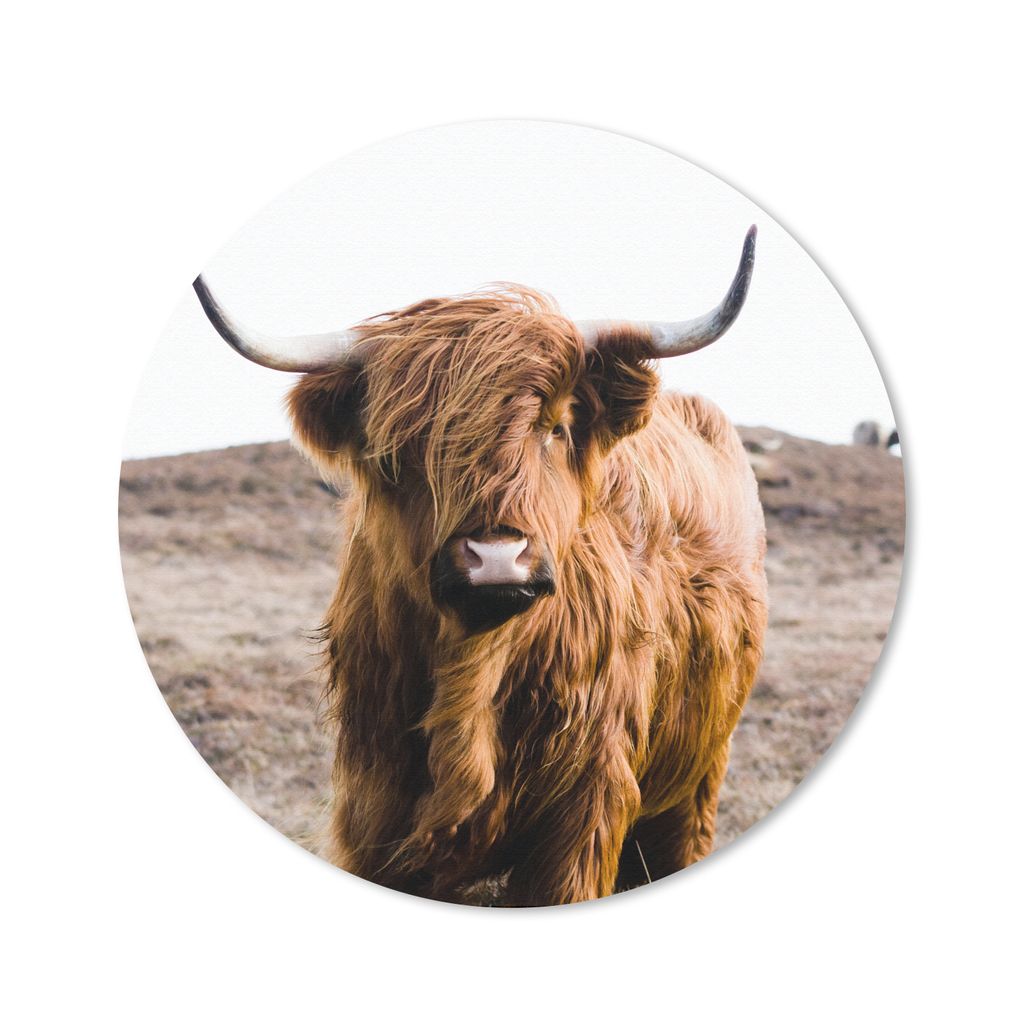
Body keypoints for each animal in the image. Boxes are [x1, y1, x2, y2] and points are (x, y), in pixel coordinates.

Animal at [193, 227, 767, 906]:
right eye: (401, 447)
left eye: (556, 427)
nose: (497, 558)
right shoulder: (373, 805)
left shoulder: (585, 811)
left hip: (698, 773)